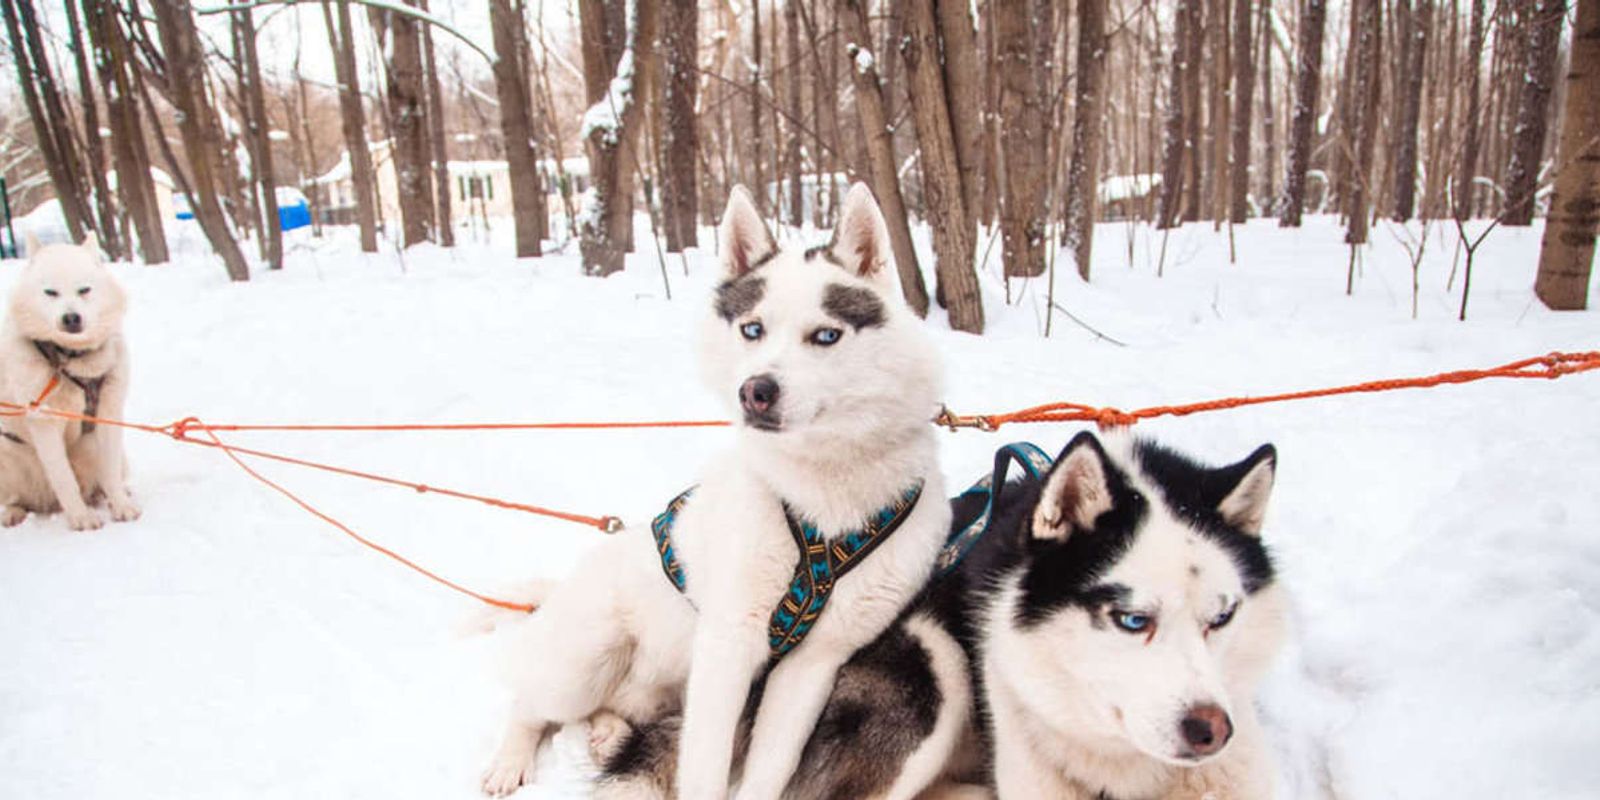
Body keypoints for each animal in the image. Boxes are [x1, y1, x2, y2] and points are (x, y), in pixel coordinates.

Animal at [0, 233, 140, 531]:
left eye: (84, 290)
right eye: (50, 292)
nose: (71, 317)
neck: (72, 360)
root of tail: (45, 502)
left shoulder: (108, 413)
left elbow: (110, 471)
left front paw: (121, 505)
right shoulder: (43, 421)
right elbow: (64, 479)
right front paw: (81, 518)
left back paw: (107, 495)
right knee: (14, 498)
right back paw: (12, 512)